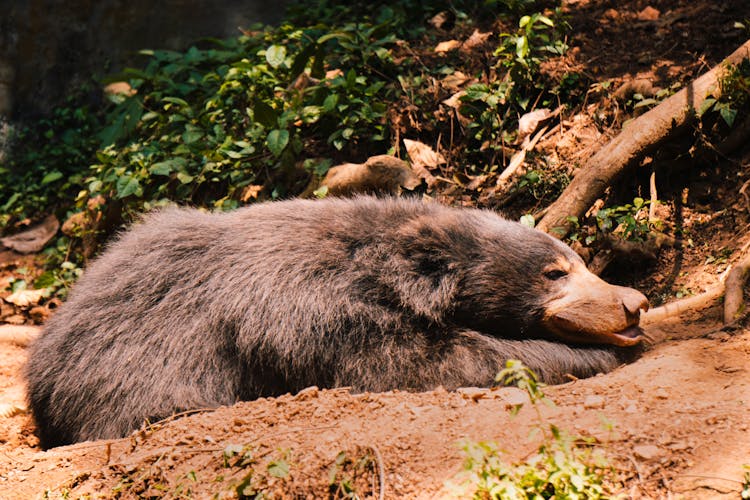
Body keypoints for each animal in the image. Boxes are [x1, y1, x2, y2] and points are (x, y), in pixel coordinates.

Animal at [26, 194, 648, 446]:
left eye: (580, 260)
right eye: (554, 272)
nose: (633, 302)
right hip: (126, 371)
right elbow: (421, 363)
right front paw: (595, 354)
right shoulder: (312, 316)